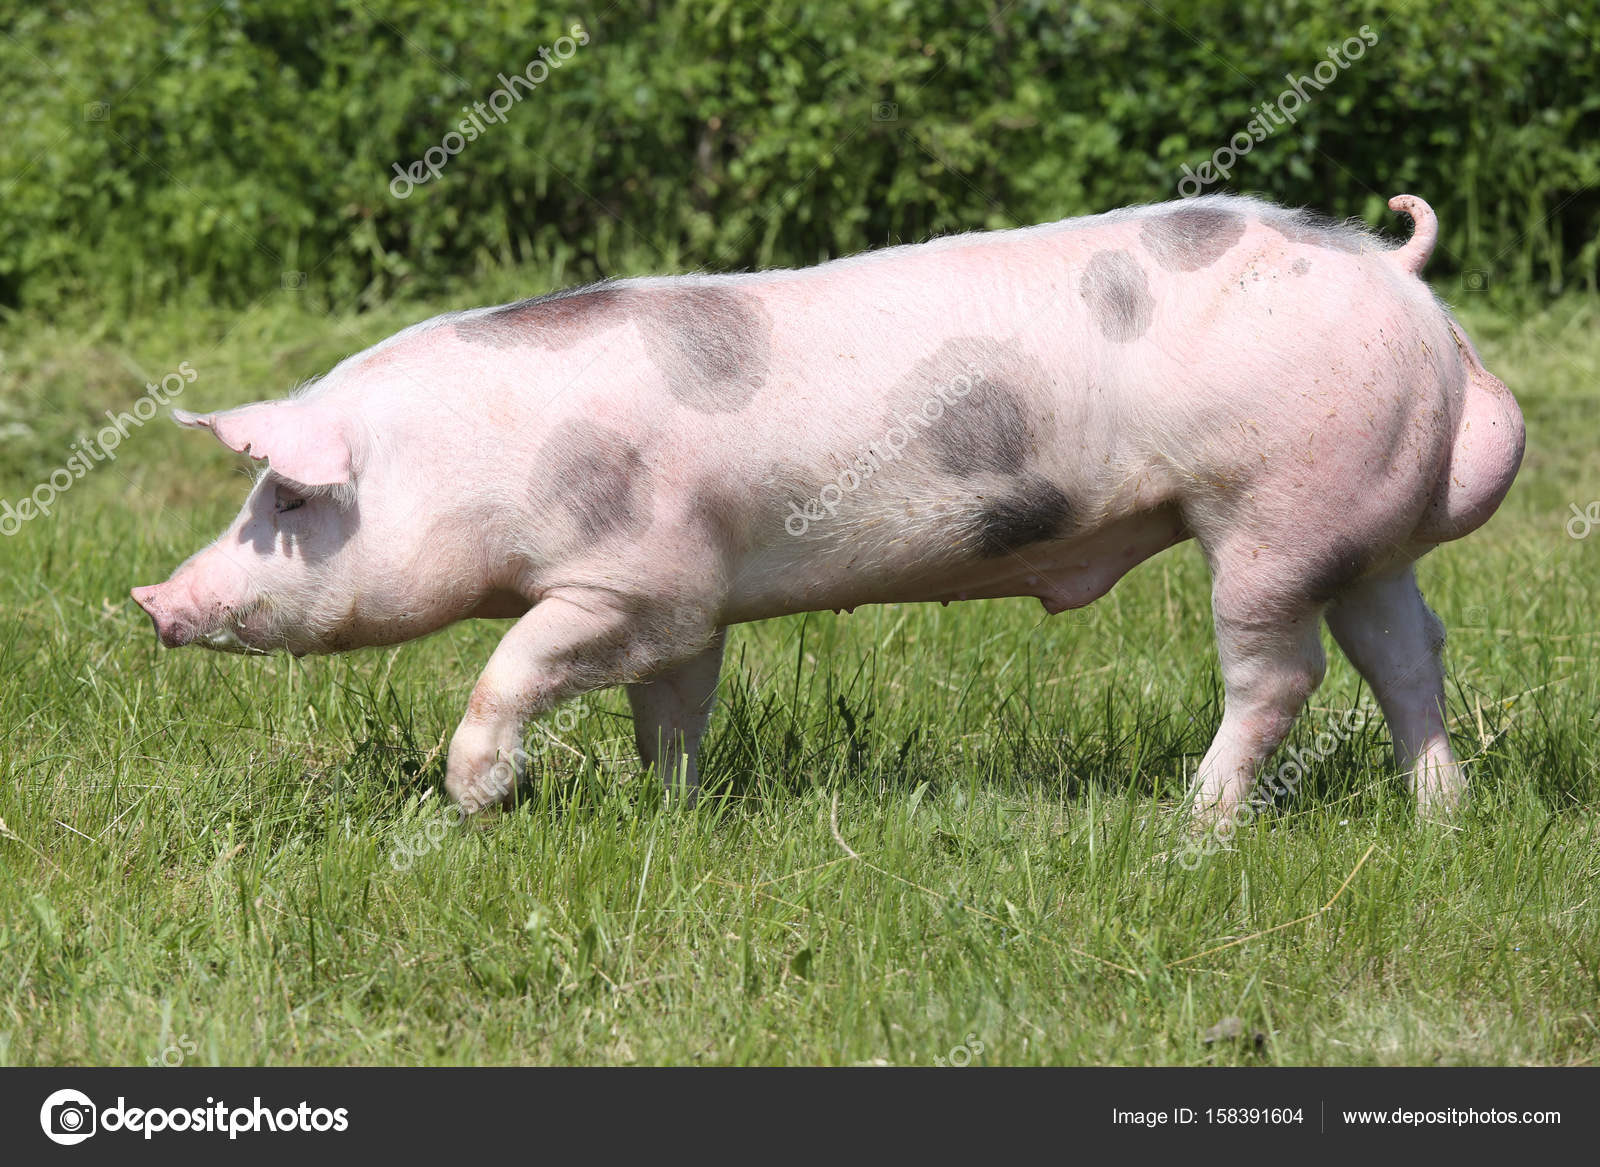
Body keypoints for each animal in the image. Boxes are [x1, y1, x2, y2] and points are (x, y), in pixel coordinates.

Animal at [132, 193, 1523, 821]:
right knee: (1407, 654)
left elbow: (516, 663)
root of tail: (1398, 274)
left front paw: (472, 800)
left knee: (1281, 673)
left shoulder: (628, 579)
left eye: (290, 495)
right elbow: (673, 707)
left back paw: (1196, 821)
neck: (477, 460)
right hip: (1361, 524)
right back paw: (1441, 816)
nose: (150, 598)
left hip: (1272, 509)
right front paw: (670, 810)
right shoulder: (688, 601)